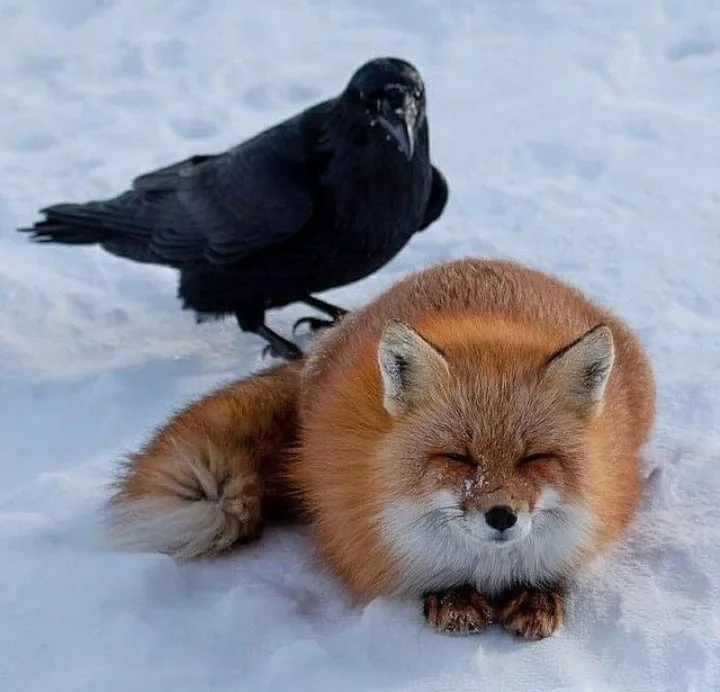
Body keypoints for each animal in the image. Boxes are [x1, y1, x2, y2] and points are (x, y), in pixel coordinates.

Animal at [108, 257, 656, 640]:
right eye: (457, 457)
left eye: (535, 458)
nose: (501, 516)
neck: (488, 570)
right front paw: (451, 596)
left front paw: (539, 593)